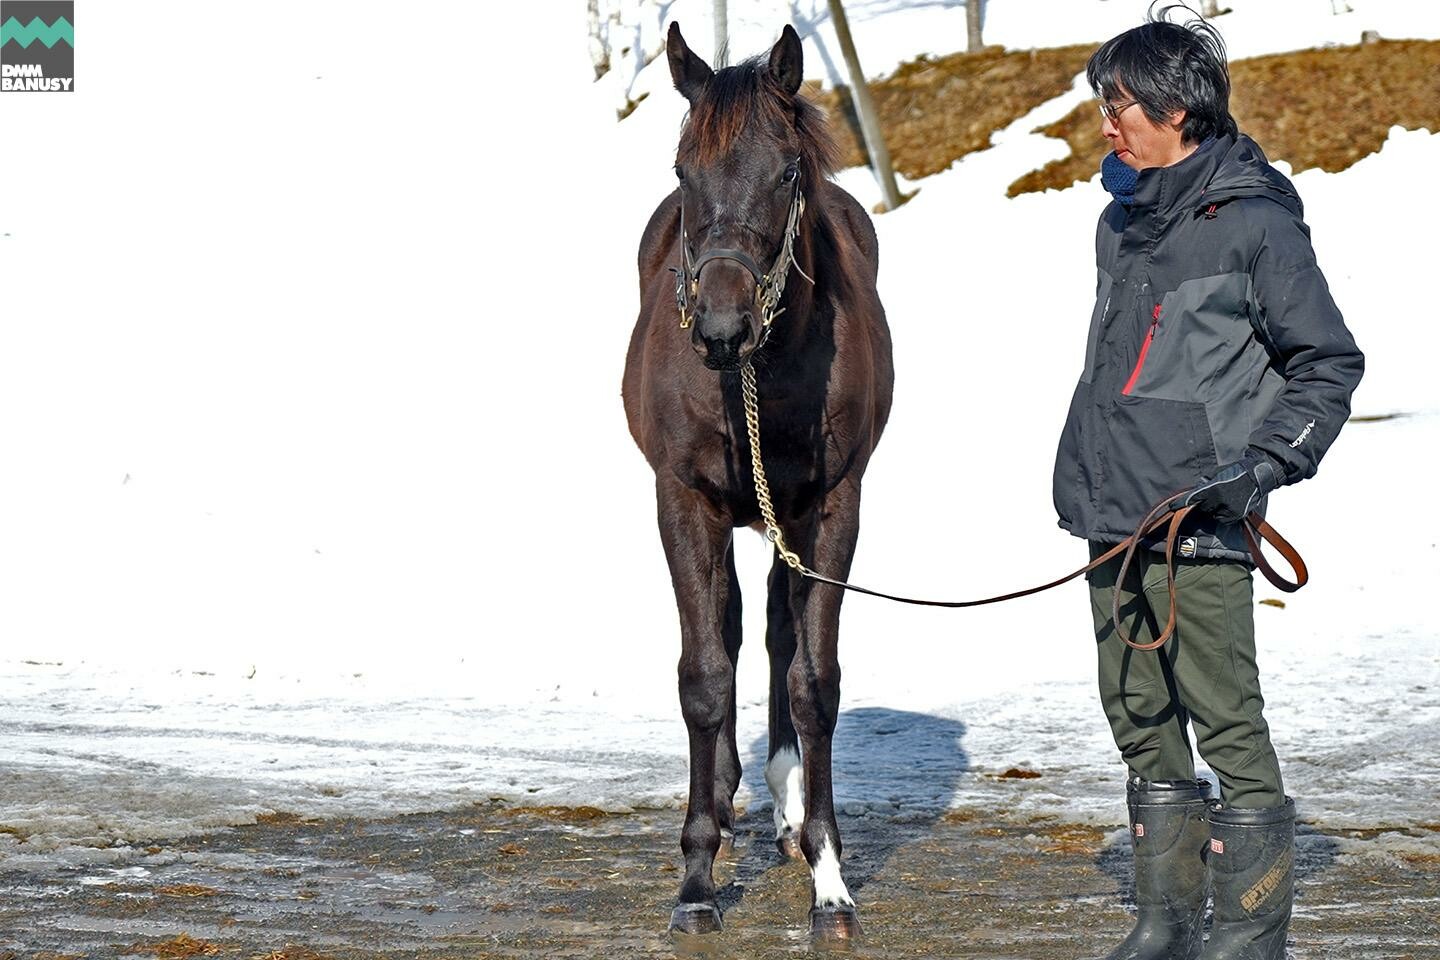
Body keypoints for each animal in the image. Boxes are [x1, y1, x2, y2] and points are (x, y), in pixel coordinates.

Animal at [624, 20, 892, 938]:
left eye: (785, 173)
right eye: (681, 172)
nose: (720, 326)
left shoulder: (832, 506)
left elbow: (814, 681)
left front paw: (830, 878)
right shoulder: (684, 501)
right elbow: (703, 677)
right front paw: (696, 879)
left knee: (776, 631)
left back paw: (783, 803)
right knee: (735, 631)